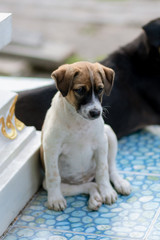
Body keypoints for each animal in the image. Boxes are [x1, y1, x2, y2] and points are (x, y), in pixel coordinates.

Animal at [40, 61, 131, 211]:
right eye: (80, 90)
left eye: (100, 89)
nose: (96, 113)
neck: (79, 121)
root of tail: (84, 178)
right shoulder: (51, 147)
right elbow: (54, 176)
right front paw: (55, 199)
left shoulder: (101, 143)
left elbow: (102, 170)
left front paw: (107, 191)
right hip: (60, 186)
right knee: (90, 185)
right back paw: (95, 199)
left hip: (109, 134)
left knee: (110, 167)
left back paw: (119, 183)